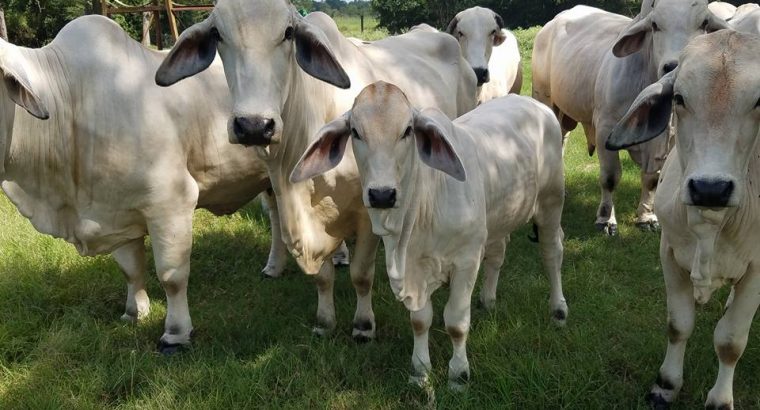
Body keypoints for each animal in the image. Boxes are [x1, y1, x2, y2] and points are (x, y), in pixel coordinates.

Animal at [0, 15, 289, 353]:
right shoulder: (114, 210)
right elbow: (131, 269)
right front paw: (134, 313)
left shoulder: (171, 203)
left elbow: (171, 276)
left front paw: (176, 334)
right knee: (277, 215)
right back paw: (273, 268)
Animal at [155, 0, 477, 340]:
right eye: (217, 33)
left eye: (288, 33)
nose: (254, 126)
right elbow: (323, 277)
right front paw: (325, 321)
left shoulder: (369, 209)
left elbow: (362, 275)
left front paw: (364, 325)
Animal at [291, 81, 568, 388]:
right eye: (355, 132)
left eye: (407, 130)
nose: (382, 194)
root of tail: (536, 105)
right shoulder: (416, 270)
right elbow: (421, 320)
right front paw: (420, 370)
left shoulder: (466, 261)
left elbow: (456, 322)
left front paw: (459, 374)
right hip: (499, 219)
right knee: (498, 253)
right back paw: (488, 301)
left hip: (551, 202)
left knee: (552, 253)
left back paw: (558, 310)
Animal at [607, 30, 760, 410]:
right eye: (679, 98)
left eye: (759, 101)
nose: (710, 187)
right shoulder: (670, 254)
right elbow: (679, 324)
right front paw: (666, 384)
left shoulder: (757, 270)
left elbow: (731, 341)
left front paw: (720, 399)